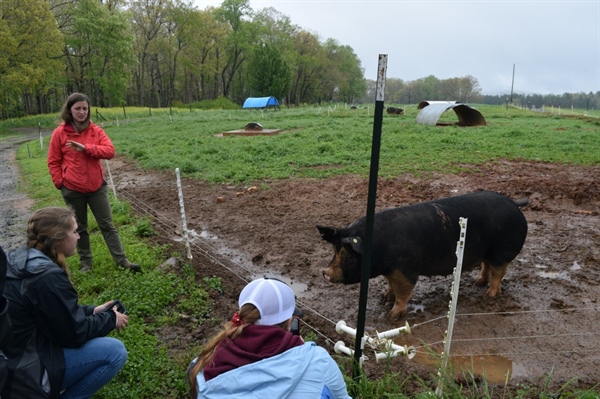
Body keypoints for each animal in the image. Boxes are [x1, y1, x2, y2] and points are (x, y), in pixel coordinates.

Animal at [316, 191, 528, 322]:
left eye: (348, 254)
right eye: (335, 251)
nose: (325, 272)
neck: (378, 247)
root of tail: (514, 203)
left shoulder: (405, 271)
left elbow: (403, 293)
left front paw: (392, 316)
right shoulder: (390, 270)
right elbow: (390, 285)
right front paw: (384, 298)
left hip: (503, 250)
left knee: (498, 273)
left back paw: (488, 297)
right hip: (488, 250)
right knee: (486, 266)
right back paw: (478, 283)